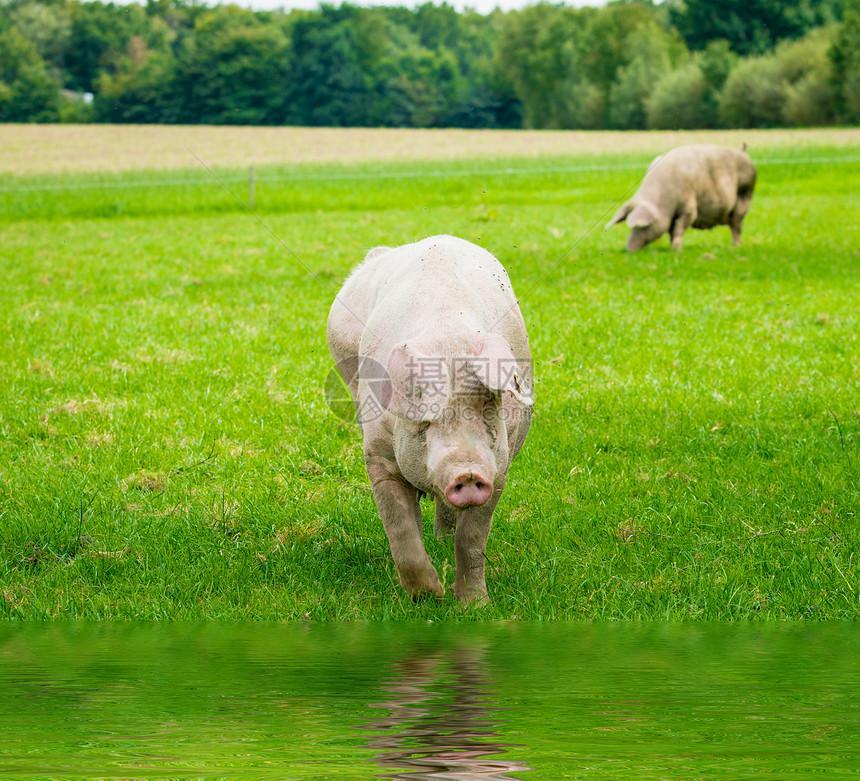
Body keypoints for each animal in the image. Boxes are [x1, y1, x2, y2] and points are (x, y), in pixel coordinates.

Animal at [328, 235, 536, 600]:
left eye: (487, 408)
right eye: (424, 424)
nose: (467, 471)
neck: (447, 341)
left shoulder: (500, 465)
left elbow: (472, 539)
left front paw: (473, 604)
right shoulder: (378, 453)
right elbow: (399, 527)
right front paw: (428, 597)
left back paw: (442, 540)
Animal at [608, 145, 756, 251]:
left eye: (641, 227)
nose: (628, 249)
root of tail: (743, 152)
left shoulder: (689, 207)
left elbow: (680, 227)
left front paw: (677, 249)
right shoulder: (670, 216)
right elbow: (670, 229)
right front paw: (672, 247)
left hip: (745, 195)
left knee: (737, 225)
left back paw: (736, 247)